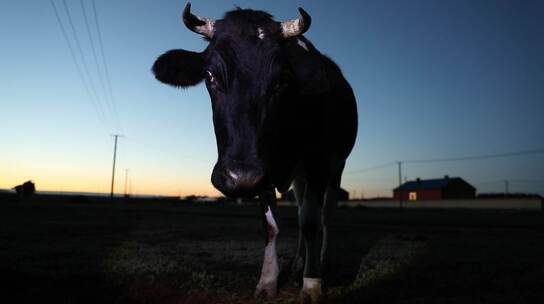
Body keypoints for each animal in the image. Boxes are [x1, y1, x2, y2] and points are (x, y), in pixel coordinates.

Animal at [152, 2, 356, 302]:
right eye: (209, 76)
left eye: (281, 80)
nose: (239, 176)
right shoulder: (264, 172)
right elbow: (271, 226)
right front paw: (268, 280)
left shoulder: (317, 160)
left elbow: (311, 222)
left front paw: (312, 284)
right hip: (299, 177)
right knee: (300, 211)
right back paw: (297, 263)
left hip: (336, 166)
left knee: (325, 216)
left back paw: (322, 263)